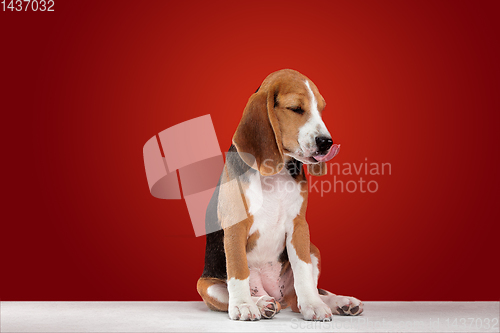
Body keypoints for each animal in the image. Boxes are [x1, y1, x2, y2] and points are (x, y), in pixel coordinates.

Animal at [196, 68, 364, 320]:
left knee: (298, 298)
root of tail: (275, 294)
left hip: (313, 249)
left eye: (321, 109)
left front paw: (313, 304)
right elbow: (238, 269)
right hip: (205, 285)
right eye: (296, 108)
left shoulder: (299, 226)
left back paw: (338, 302)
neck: (275, 174)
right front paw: (243, 305)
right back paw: (261, 303)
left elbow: (303, 270)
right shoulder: (235, 227)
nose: (326, 142)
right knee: (234, 291)